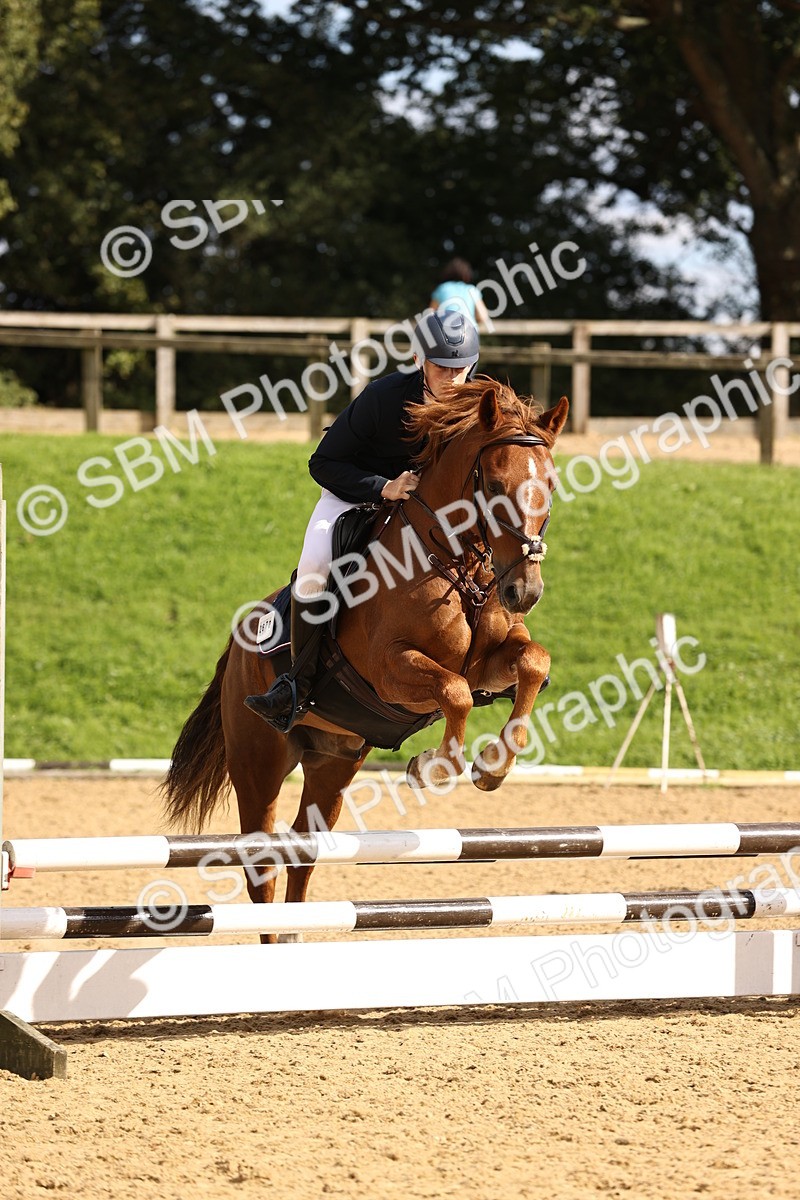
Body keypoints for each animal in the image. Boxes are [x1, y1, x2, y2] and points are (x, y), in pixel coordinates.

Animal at [162, 379, 569, 928]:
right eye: (495, 484)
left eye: (550, 484)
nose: (524, 591)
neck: (449, 559)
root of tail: (240, 641)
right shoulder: (389, 672)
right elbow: (455, 692)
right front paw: (431, 768)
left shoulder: (490, 664)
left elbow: (531, 661)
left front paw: (492, 767)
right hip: (258, 762)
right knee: (261, 863)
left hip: (333, 760)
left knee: (303, 849)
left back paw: (296, 933)